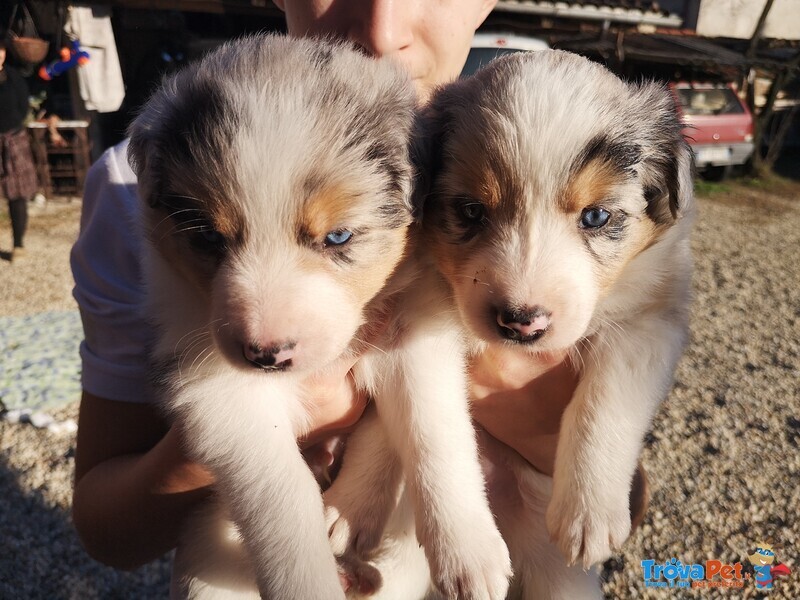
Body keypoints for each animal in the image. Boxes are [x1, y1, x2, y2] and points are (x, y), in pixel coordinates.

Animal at [128, 34, 510, 600]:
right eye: (209, 238)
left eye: (337, 236)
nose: (265, 355)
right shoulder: (220, 395)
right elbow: (283, 497)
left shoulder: (413, 338)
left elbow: (433, 429)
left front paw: (469, 552)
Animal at [332, 49, 692, 596]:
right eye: (471, 210)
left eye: (596, 217)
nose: (521, 323)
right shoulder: (417, 329)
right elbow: (424, 430)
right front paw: (464, 549)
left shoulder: (649, 322)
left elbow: (605, 403)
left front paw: (588, 516)